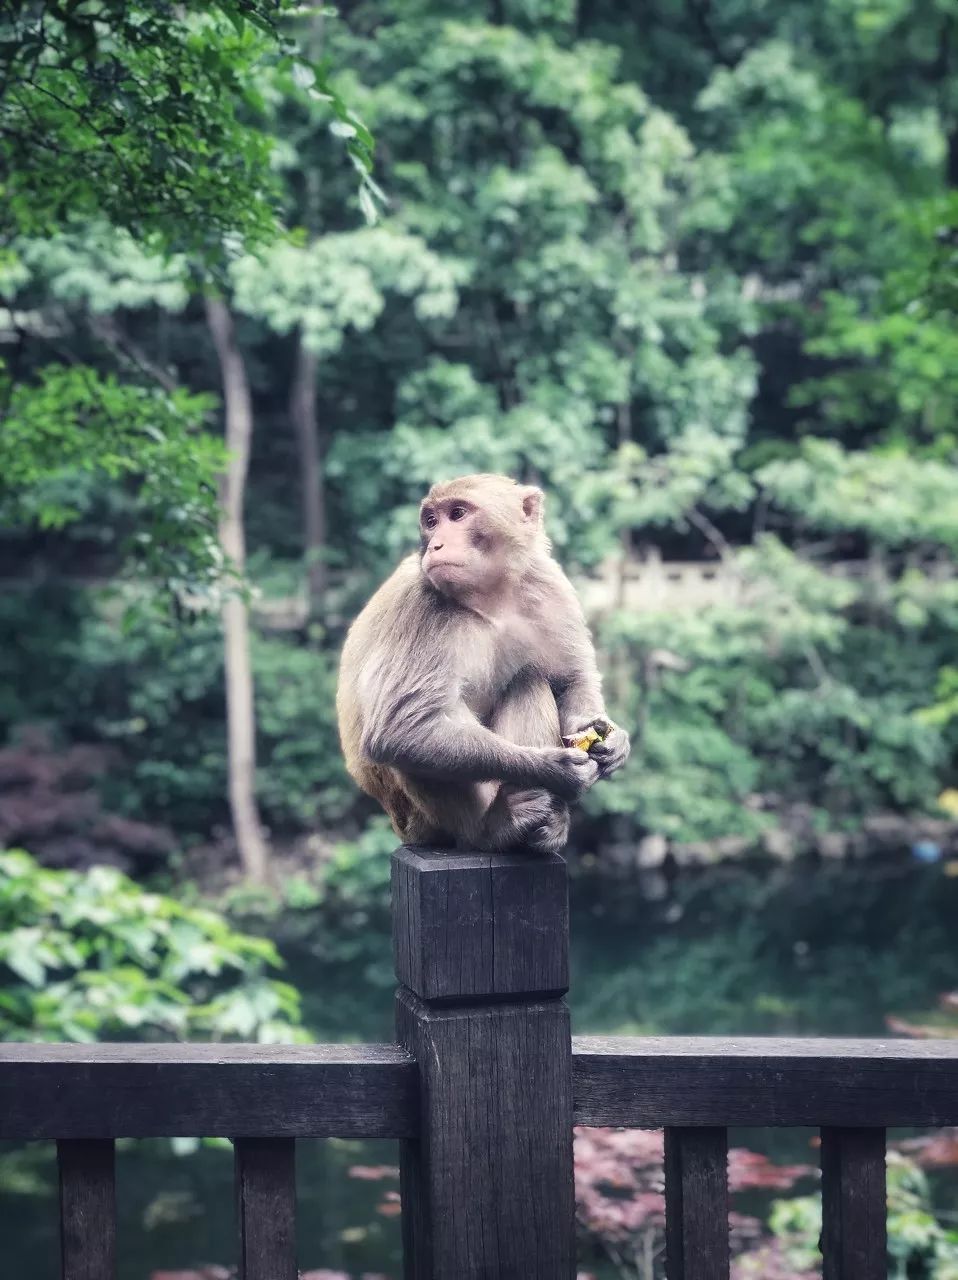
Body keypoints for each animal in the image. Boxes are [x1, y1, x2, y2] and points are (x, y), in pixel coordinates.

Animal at [332, 476, 632, 855]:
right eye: (431, 521)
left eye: (457, 514)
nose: (436, 544)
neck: (490, 599)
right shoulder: (420, 603)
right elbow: (400, 728)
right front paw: (554, 768)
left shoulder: (550, 585)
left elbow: (572, 679)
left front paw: (611, 739)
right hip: (424, 823)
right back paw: (494, 829)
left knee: (528, 681)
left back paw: (547, 826)